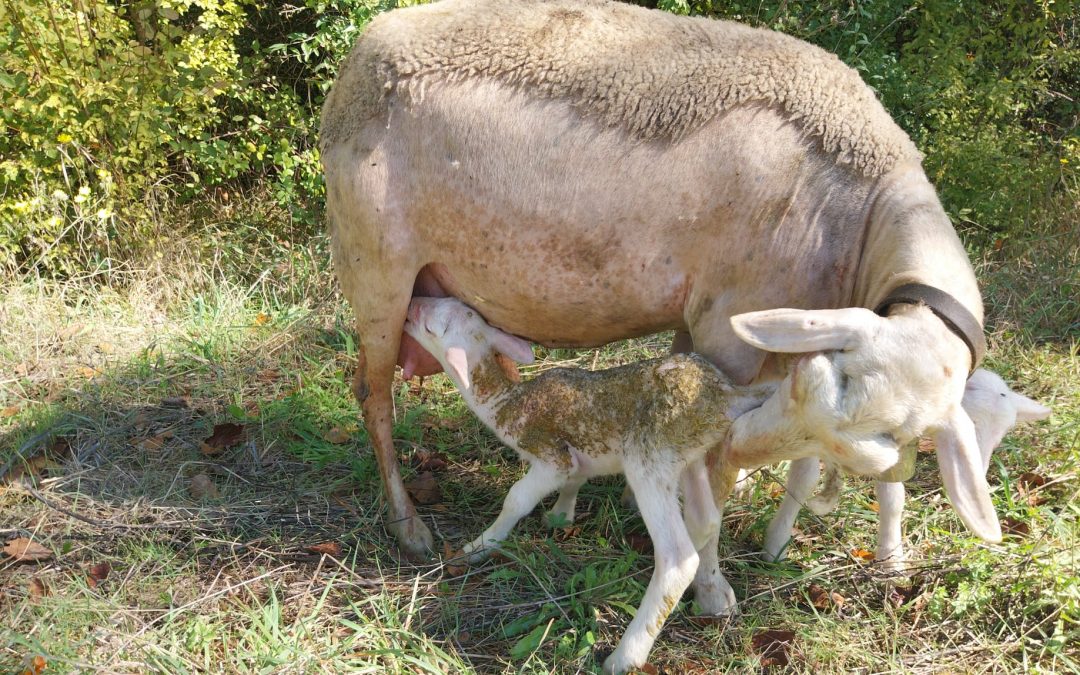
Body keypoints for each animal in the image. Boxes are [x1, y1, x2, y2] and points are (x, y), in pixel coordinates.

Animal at [319, 0, 993, 557]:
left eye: (899, 436)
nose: (761, 447)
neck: (859, 217)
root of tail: (363, 49)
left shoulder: (721, 321)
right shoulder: (727, 324)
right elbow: (710, 447)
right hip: (376, 268)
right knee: (373, 397)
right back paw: (407, 525)